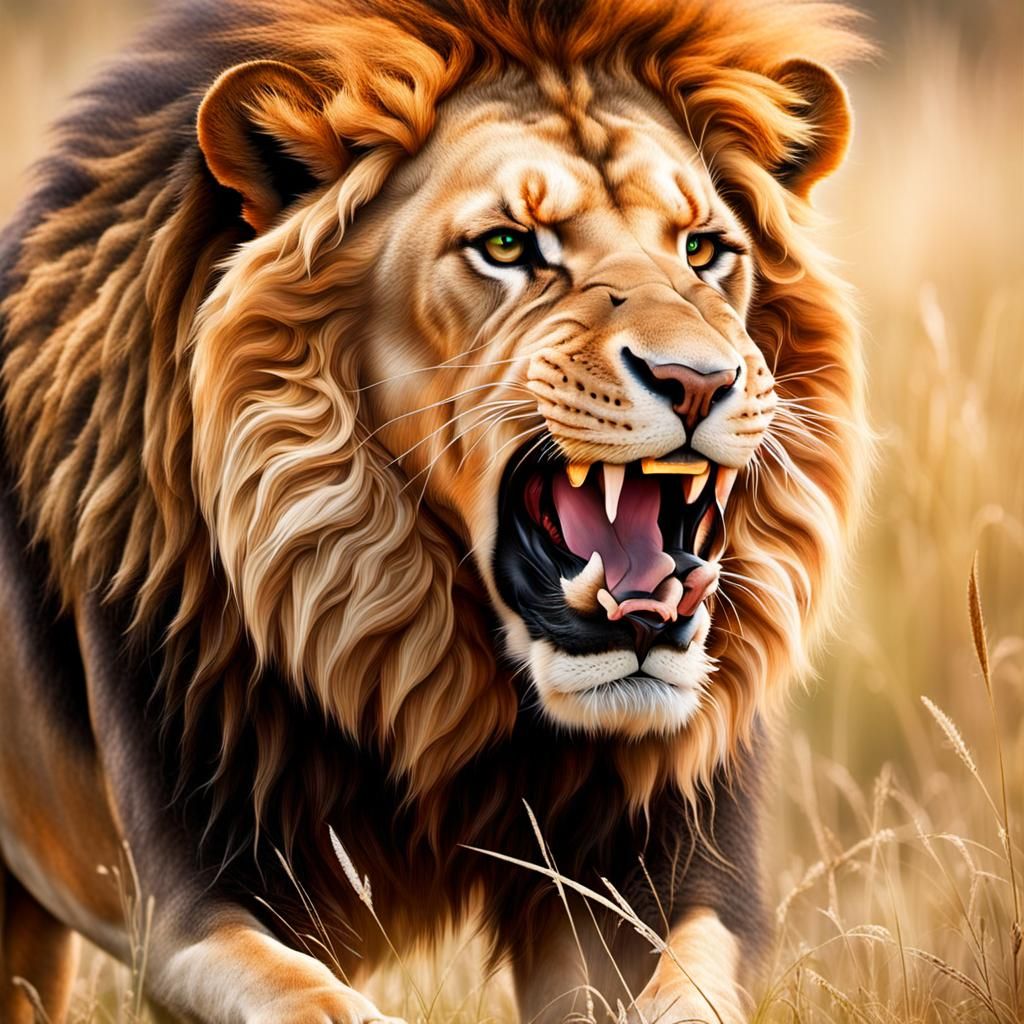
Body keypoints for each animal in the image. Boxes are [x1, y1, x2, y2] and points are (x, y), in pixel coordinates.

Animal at [0, 0, 869, 1021]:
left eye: (703, 250)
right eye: (507, 246)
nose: (698, 380)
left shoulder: (659, 879)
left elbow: (681, 995)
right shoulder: (188, 911)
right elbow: (316, 1001)